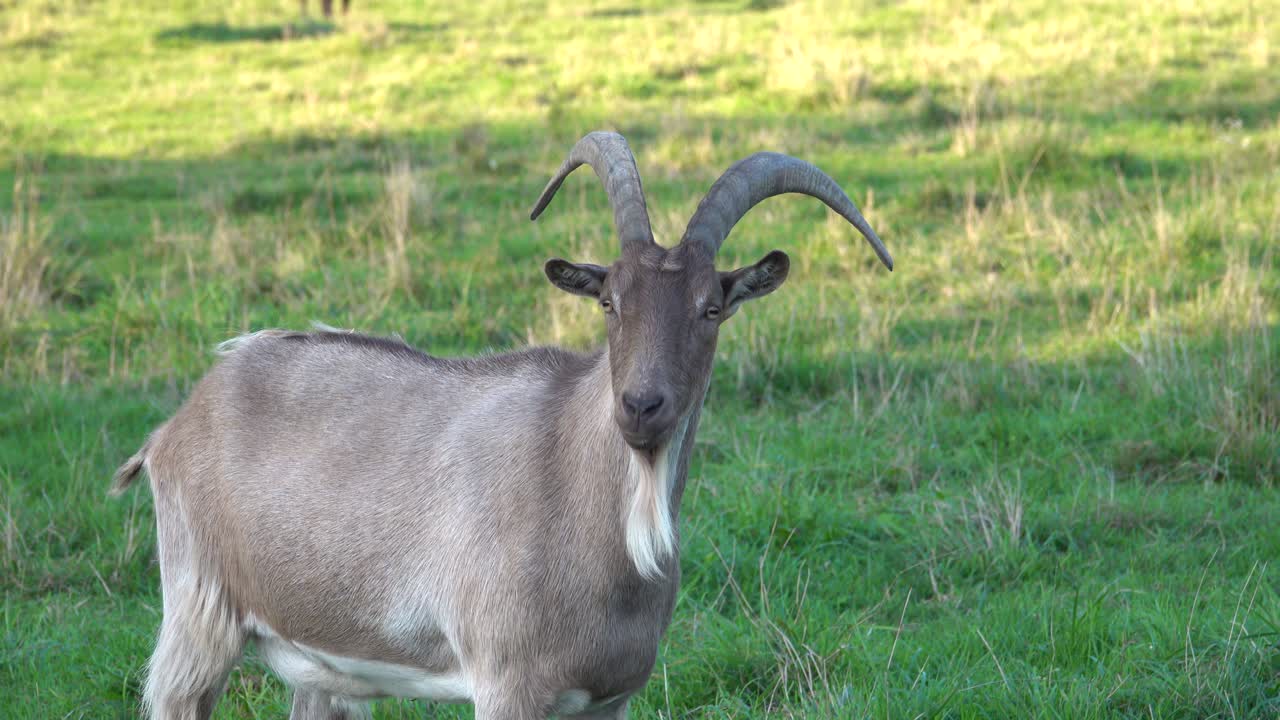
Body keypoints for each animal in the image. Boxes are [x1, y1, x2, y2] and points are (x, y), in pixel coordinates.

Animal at [111, 131, 893, 720]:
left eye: (712, 308)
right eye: (608, 301)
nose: (641, 407)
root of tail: (176, 423)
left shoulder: (607, 699)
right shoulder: (508, 684)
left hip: (321, 666)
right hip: (198, 615)